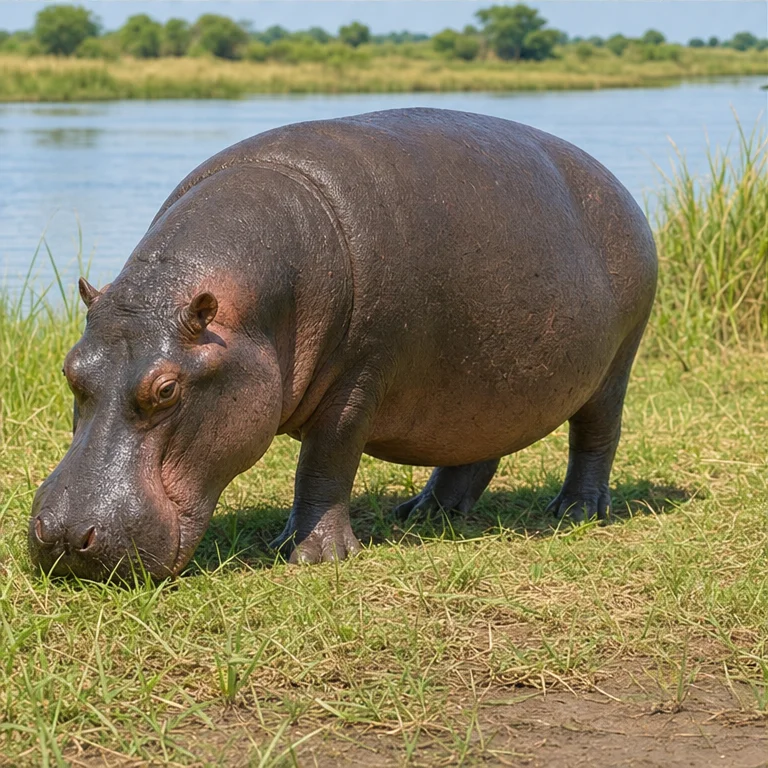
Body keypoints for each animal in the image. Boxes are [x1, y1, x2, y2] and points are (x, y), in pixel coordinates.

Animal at [29, 108, 657, 580]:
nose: (62, 537)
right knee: (474, 450)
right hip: (481, 383)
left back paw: (575, 512)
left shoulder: (359, 379)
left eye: (165, 389)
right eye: (70, 368)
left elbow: (325, 463)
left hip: (617, 362)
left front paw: (312, 556)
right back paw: (424, 514)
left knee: (596, 436)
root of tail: (622, 190)